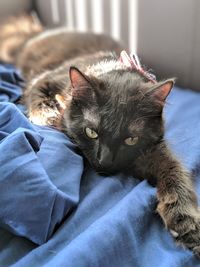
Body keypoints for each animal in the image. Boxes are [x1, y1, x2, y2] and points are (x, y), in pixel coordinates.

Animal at [1, 14, 200, 258]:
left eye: (130, 139)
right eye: (91, 132)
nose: (105, 161)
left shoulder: (150, 152)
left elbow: (175, 171)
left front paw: (186, 220)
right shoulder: (43, 80)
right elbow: (38, 102)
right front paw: (51, 117)